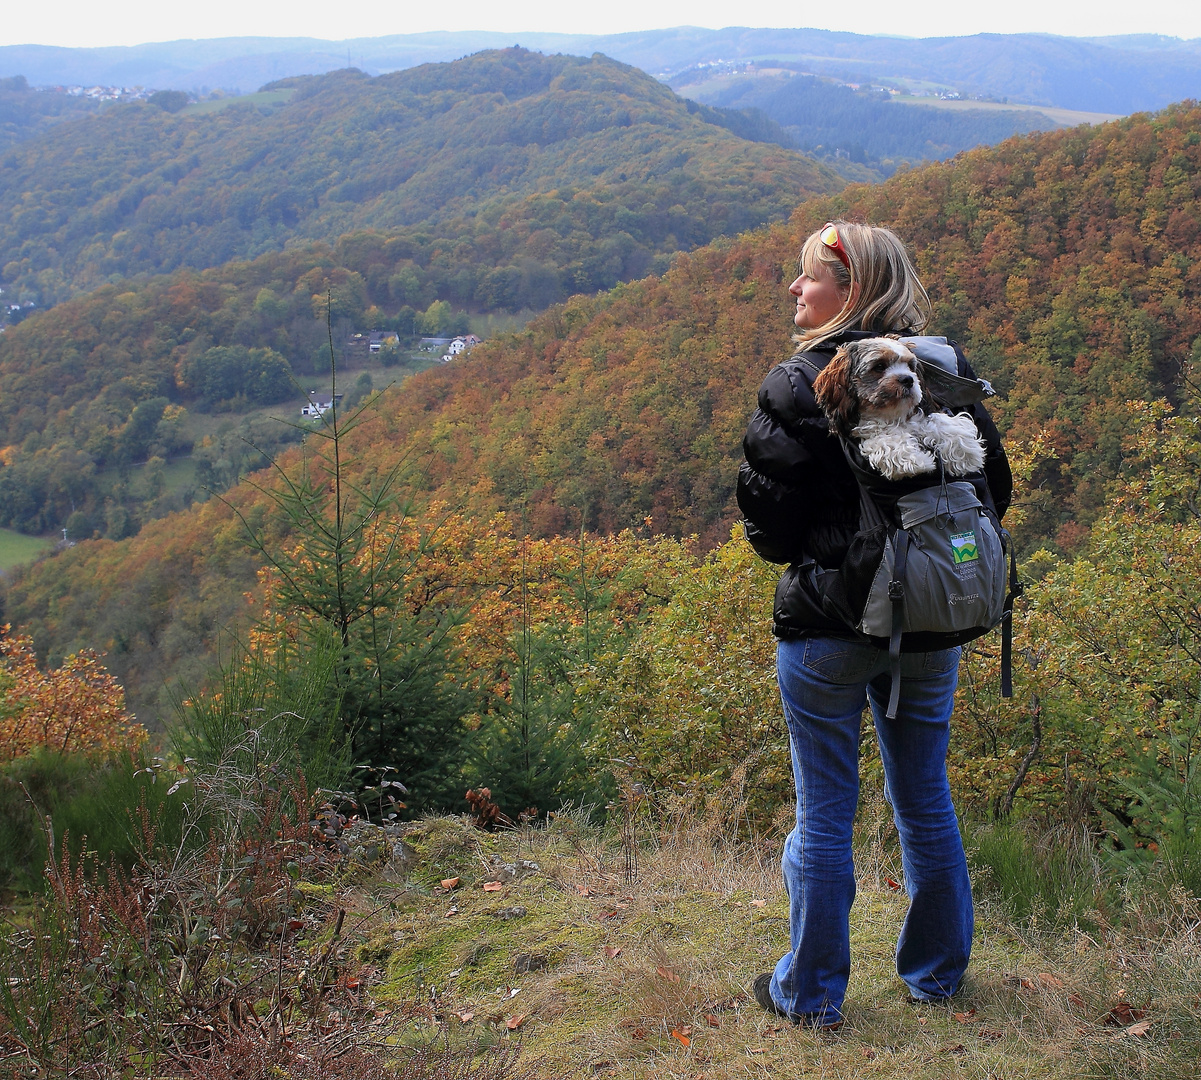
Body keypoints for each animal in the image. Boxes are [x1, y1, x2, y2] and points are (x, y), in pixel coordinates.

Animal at [807, 333, 984, 478]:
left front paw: (966, 454)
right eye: (879, 366)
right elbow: (887, 441)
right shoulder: (868, 431)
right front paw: (919, 460)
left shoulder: (920, 418)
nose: (908, 379)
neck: (893, 415)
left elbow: (943, 424)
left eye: (910, 366)